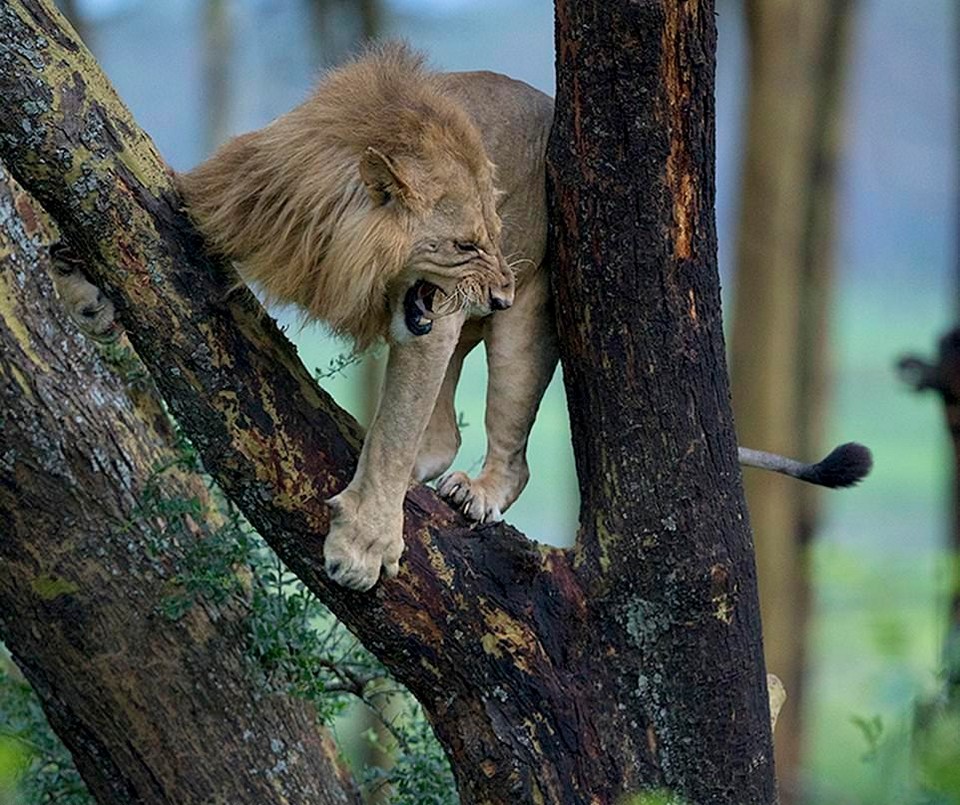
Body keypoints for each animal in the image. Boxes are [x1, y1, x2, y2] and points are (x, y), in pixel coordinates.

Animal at [174, 42, 872, 592]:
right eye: (465, 243)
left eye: (494, 228)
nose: (499, 295)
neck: (337, 254)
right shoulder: (233, 202)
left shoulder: (434, 326)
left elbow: (395, 434)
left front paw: (365, 545)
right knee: (441, 434)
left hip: (528, 327)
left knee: (506, 453)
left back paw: (473, 492)